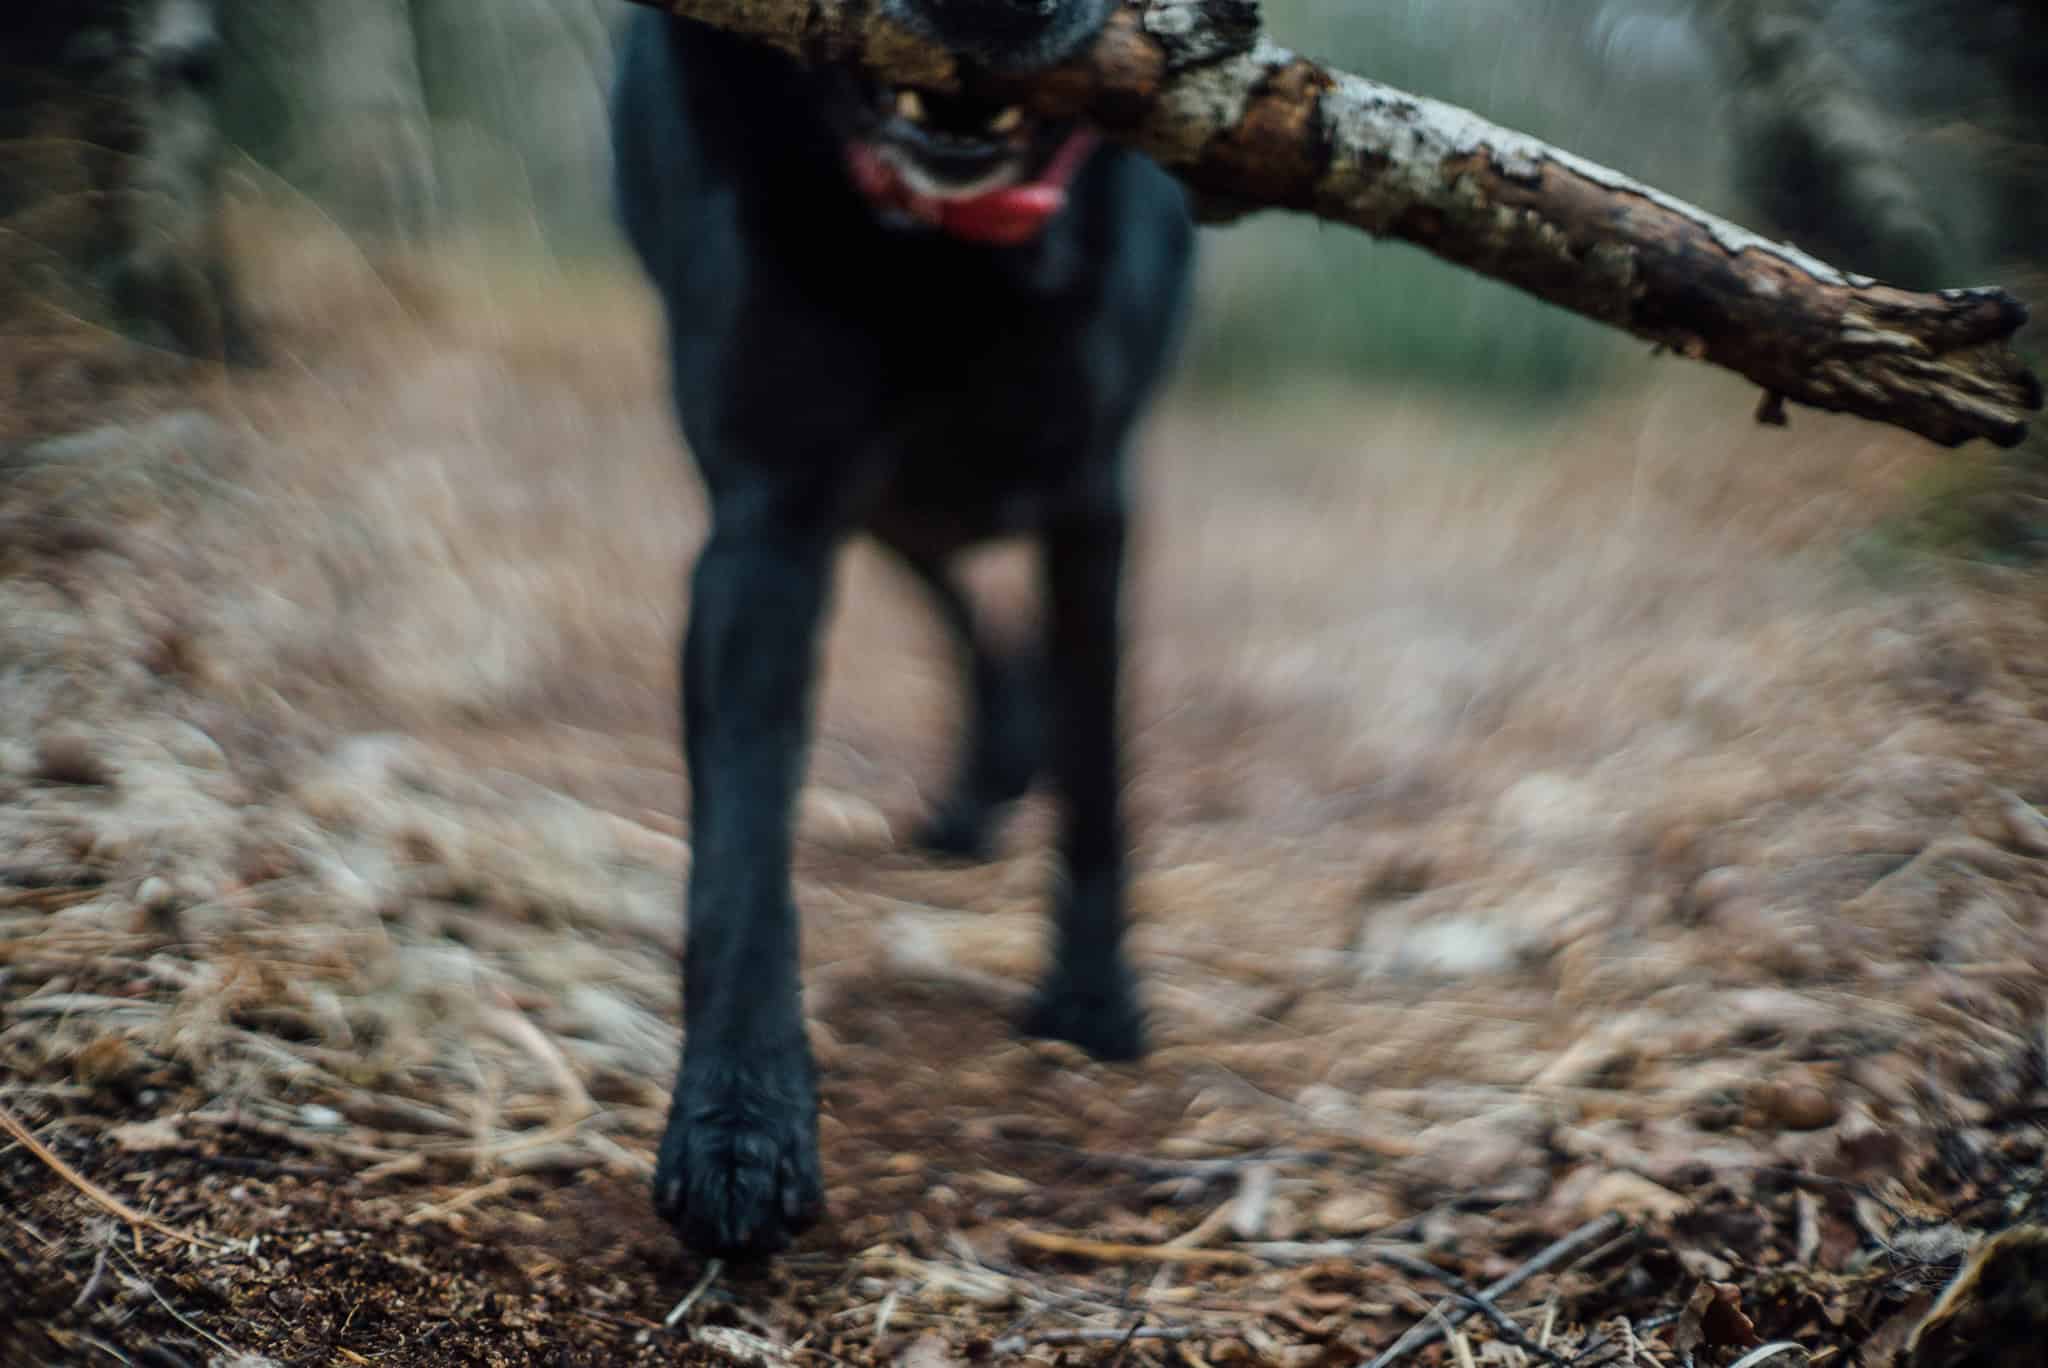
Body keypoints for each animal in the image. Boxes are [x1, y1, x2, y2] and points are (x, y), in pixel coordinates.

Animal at [606, 0, 1196, 1253]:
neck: (946, 248)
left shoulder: (1093, 497)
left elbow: (1099, 763)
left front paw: (1091, 996)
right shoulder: (768, 513)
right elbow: (740, 851)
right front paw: (740, 1119)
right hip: (885, 497)